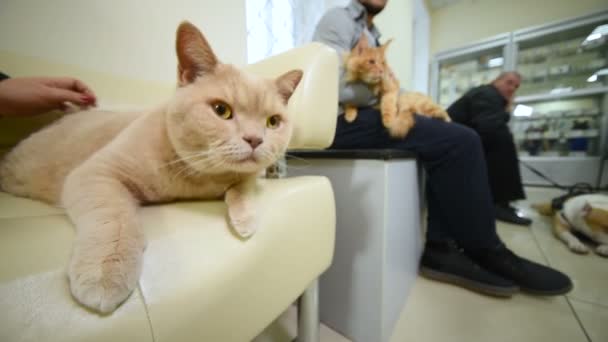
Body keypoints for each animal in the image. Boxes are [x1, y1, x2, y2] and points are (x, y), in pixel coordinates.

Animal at [0, 21, 304, 312]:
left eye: (273, 122)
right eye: (222, 110)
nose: (255, 139)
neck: (199, 181)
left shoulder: (247, 174)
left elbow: (244, 184)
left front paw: (246, 218)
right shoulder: (96, 173)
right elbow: (115, 221)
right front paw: (105, 273)